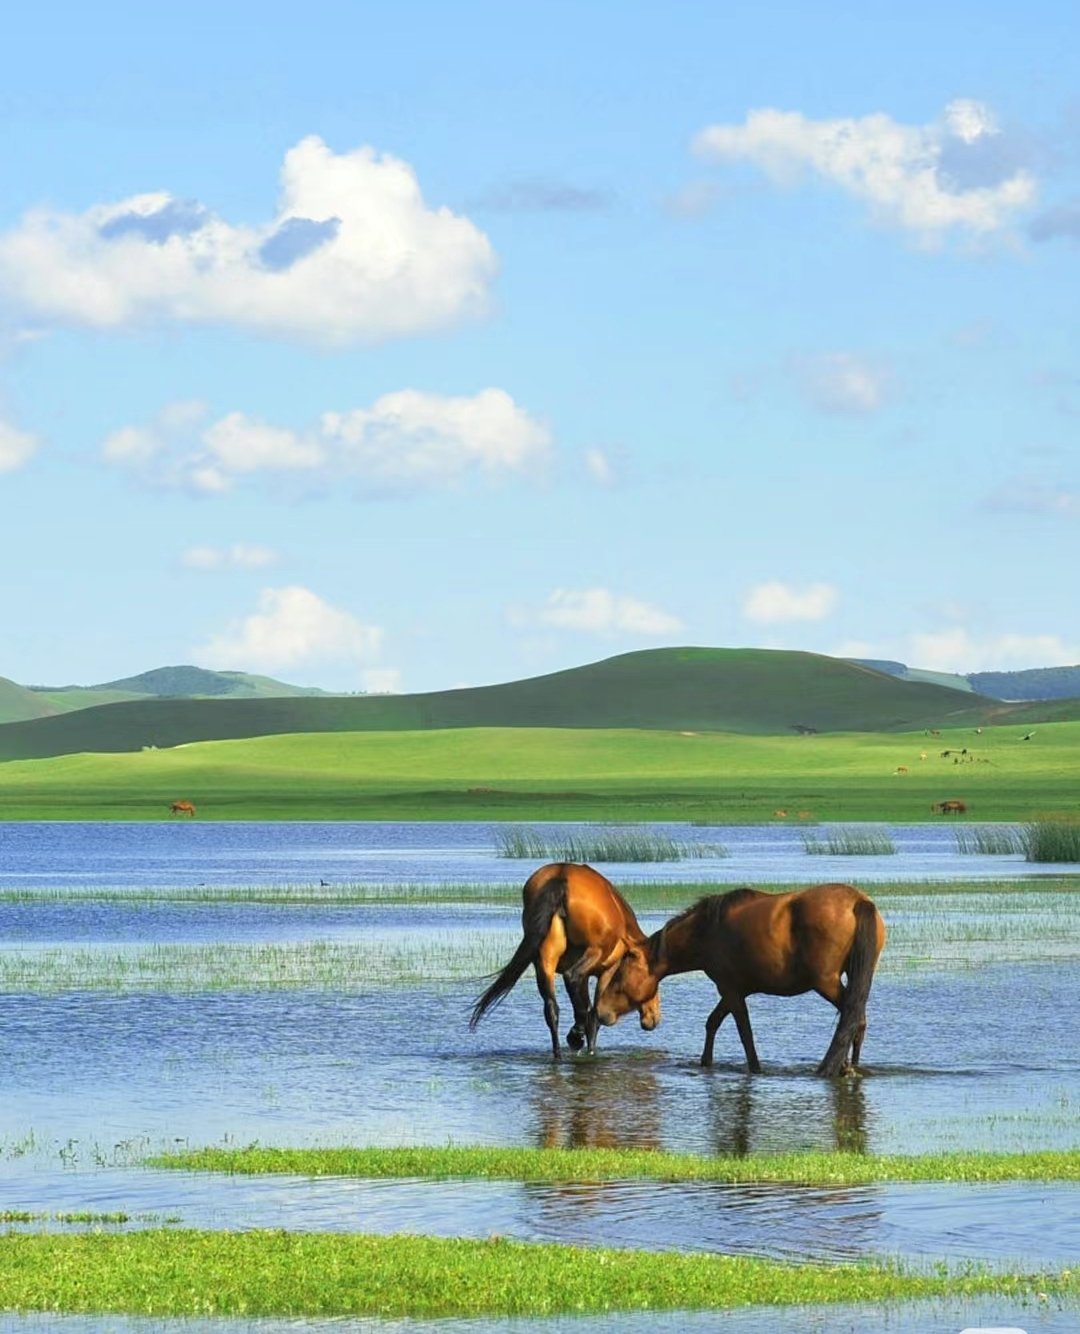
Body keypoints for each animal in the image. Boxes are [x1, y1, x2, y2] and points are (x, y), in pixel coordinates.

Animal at [469, 864, 661, 1061]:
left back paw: (560, 1052)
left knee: (552, 1009)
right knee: (574, 983)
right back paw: (576, 1036)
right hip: (593, 952)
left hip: (544, 959)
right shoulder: (608, 971)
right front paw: (585, 1042)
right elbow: (595, 1013)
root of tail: (561, 876)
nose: (653, 1019)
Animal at [589, 880, 885, 1077]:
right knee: (858, 1021)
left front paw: (754, 1068)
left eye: (618, 976)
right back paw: (850, 1067)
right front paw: (705, 1062)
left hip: (827, 983)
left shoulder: (729, 989)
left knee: (852, 1018)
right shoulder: (735, 990)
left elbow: (744, 1033)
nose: (601, 1012)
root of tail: (859, 902)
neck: (706, 930)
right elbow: (713, 1023)